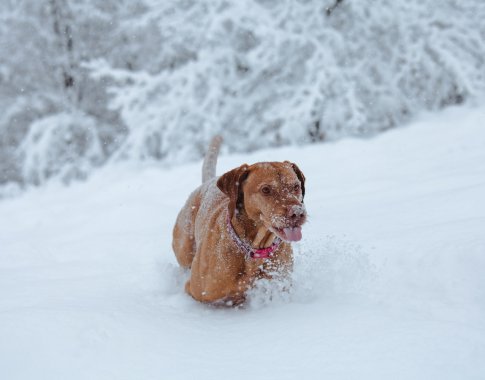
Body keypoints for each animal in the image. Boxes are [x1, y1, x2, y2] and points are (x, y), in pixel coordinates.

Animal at [171, 137, 306, 306]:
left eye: (296, 186)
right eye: (266, 189)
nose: (298, 213)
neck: (253, 248)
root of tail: (207, 182)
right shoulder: (196, 291)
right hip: (184, 248)